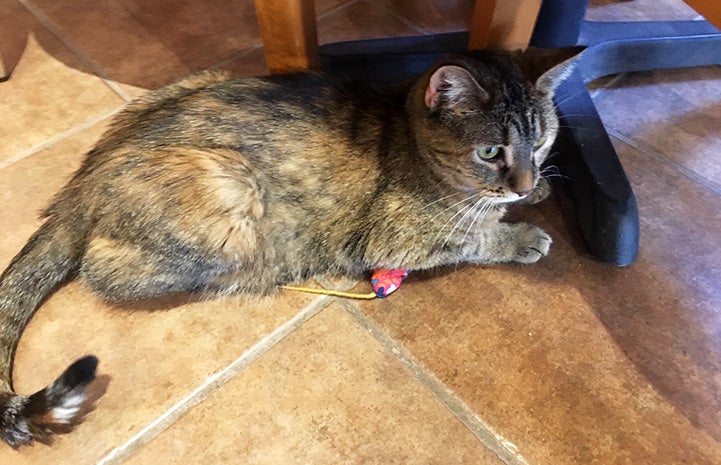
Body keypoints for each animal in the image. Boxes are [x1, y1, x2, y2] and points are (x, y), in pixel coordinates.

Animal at [0, 46, 580, 446]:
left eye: (542, 141)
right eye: (490, 152)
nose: (525, 183)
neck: (410, 137)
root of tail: (84, 180)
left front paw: (538, 191)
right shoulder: (397, 236)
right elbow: (474, 234)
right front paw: (520, 233)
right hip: (231, 197)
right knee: (102, 269)